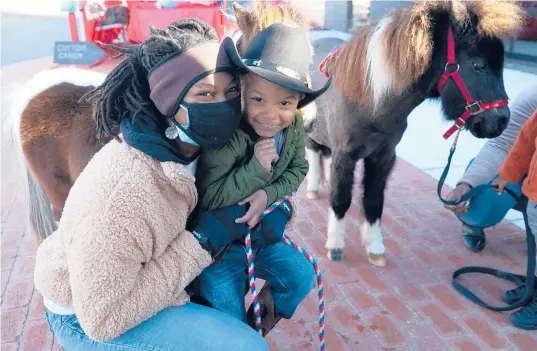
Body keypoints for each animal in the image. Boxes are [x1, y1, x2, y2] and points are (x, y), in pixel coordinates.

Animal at [304, 0, 524, 266]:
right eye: (478, 65)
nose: (501, 121)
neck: (372, 100)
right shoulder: (344, 155)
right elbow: (340, 200)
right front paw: (335, 246)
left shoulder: (383, 156)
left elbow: (373, 200)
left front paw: (375, 248)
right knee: (312, 152)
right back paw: (313, 188)